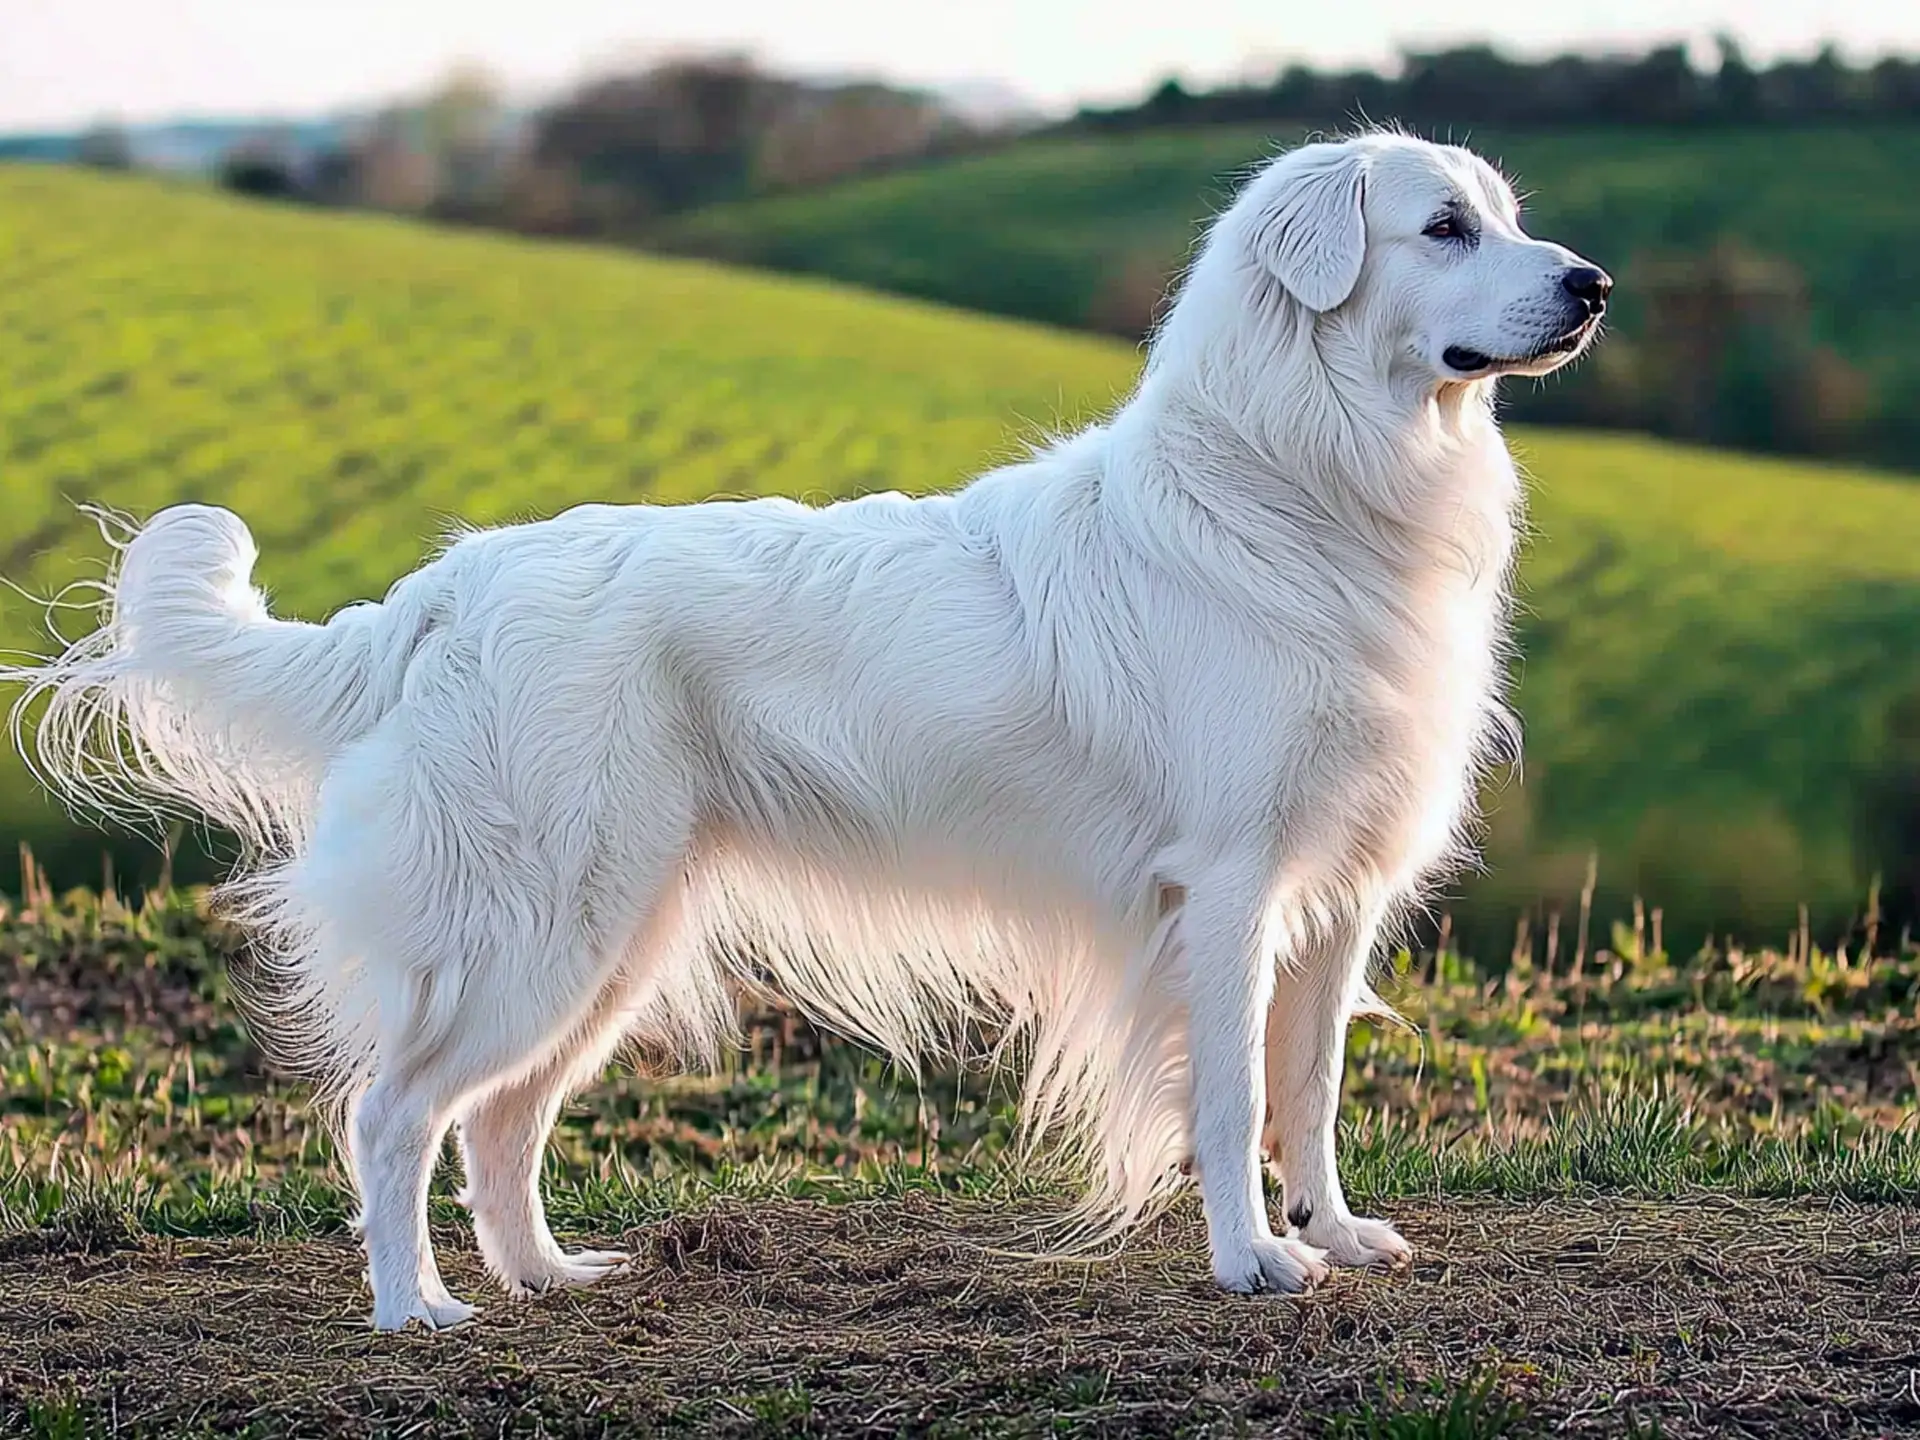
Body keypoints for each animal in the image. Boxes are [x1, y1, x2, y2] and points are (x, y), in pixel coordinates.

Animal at [3, 132, 1605, 1328]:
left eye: (1511, 219)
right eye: (1445, 226)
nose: (1592, 284)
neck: (1294, 483)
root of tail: (444, 591)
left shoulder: (1329, 897)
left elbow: (1312, 1092)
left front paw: (1333, 1236)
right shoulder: (1223, 892)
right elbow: (1229, 1100)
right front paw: (1251, 1262)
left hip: (613, 937)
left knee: (500, 1124)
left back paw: (546, 1279)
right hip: (541, 928)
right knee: (394, 1115)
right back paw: (420, 1313)